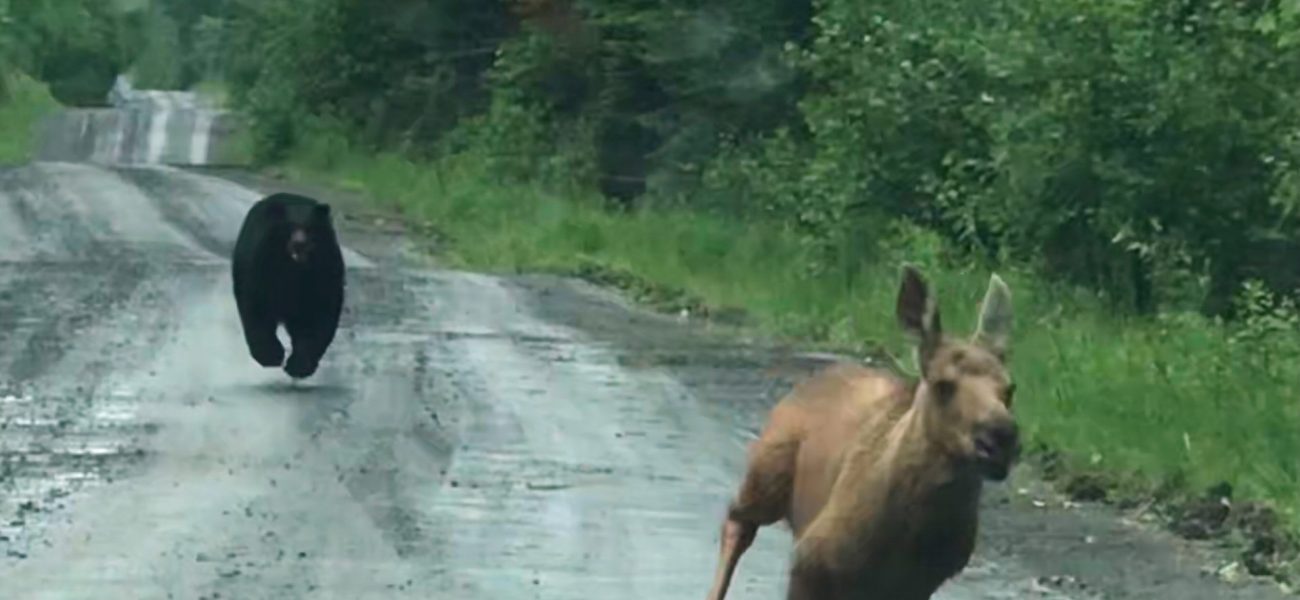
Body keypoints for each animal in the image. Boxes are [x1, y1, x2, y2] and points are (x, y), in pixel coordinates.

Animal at [231, 192, 345, 379]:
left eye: (309, 227)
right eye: (289, 227)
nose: (299, 243)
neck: (294, 270)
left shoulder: (324, 273)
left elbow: (319, 316)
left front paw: (299, 365)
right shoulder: (262, 268)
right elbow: (257, 308)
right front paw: (270, 355)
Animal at [706, 265, 1019, 600]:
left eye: (1010, 388)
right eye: (942, 385)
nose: (1000, 438)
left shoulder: (918, 585)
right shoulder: (810, 559)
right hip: (767, 470)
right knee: (738, 520)